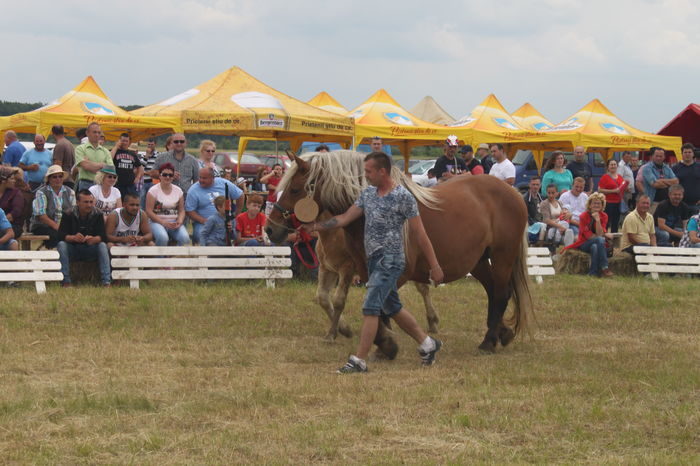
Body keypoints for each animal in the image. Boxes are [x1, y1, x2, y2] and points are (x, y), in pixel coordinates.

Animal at [266, 150, 533, 354]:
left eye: (295, 190)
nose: (270, 228)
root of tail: (513, 193)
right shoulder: (363, 269)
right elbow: (374, 305)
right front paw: (381, 341)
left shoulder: (390, 273)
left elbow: (382, 305)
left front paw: (384, 342)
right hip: (478, 261)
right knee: (493, 292)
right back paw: (501, 333)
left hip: (502, 256)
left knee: (501, 294)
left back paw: (488, 341)